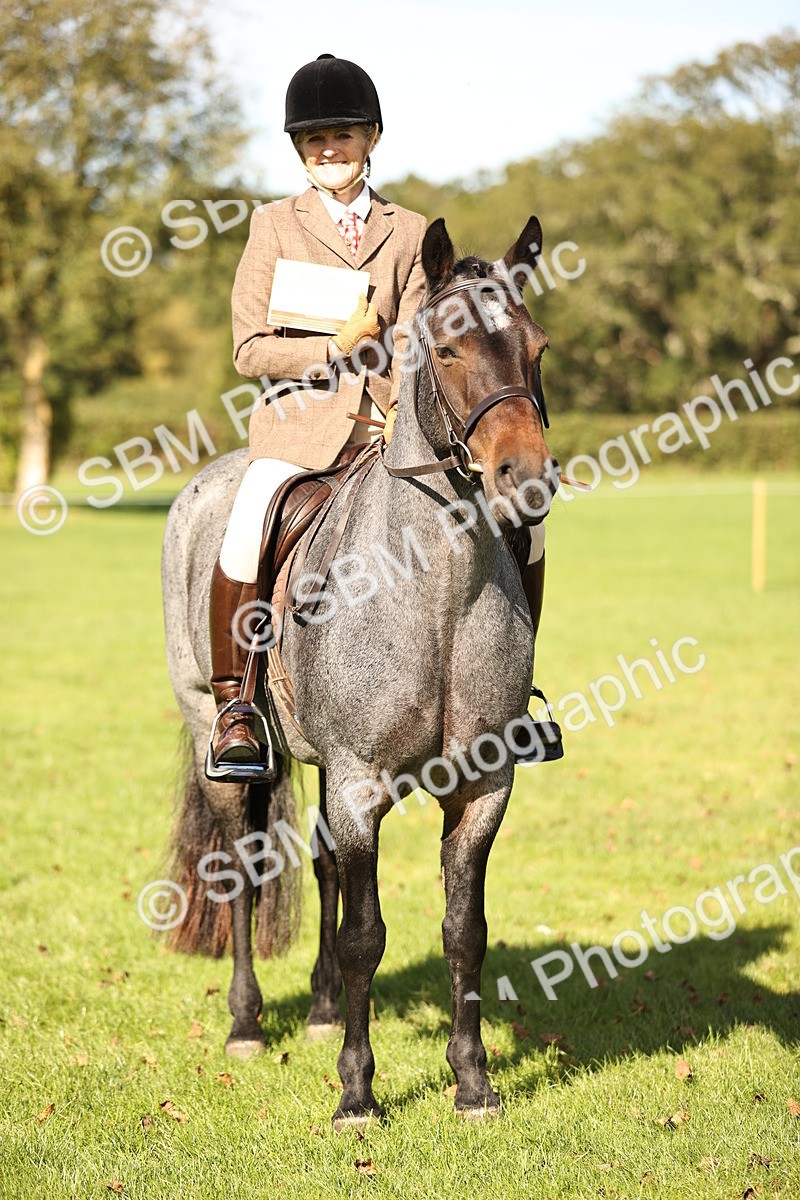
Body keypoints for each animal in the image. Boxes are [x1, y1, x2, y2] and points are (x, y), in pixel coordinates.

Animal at [161, 215, 559, 1127]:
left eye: (539, 348)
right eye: (445, 349)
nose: (526, 480)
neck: (436, 589)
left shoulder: (482, 787)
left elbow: (462, 931)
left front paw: (473, 1083)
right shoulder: (358, 781)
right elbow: (365, 935)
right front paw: (356, 1094)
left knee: (320, 864)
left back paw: (316, 1009)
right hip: (215, 728)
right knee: (244, 867)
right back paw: (247, 1024)